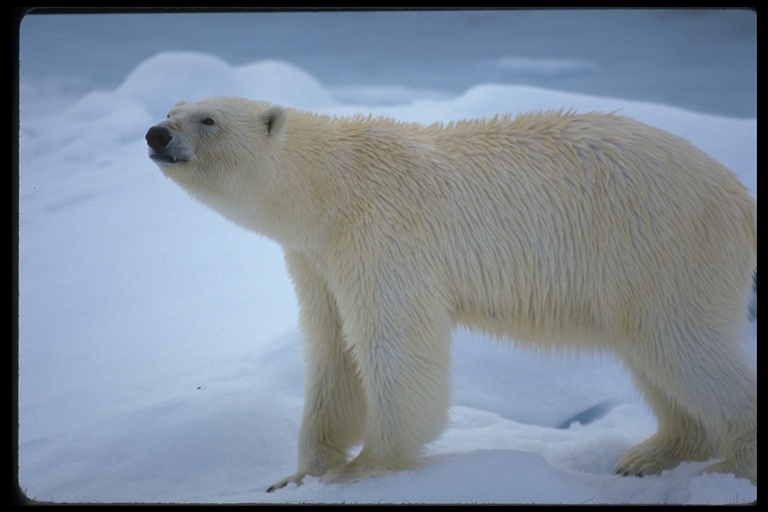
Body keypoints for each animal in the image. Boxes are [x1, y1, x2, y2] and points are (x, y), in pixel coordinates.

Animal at [147, 97, 760, 488]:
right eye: (174, 109)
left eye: (207, 118)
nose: (157, 134)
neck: (333, 188)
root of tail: (739, 195)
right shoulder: (316, 259)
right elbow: (331, 349)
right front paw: (300, 474)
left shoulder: (382, 237)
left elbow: (394, 343)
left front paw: (365, 466)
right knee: (653, 355)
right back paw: (653, 454)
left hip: (660, 244)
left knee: (681, 342)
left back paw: (726, 464)